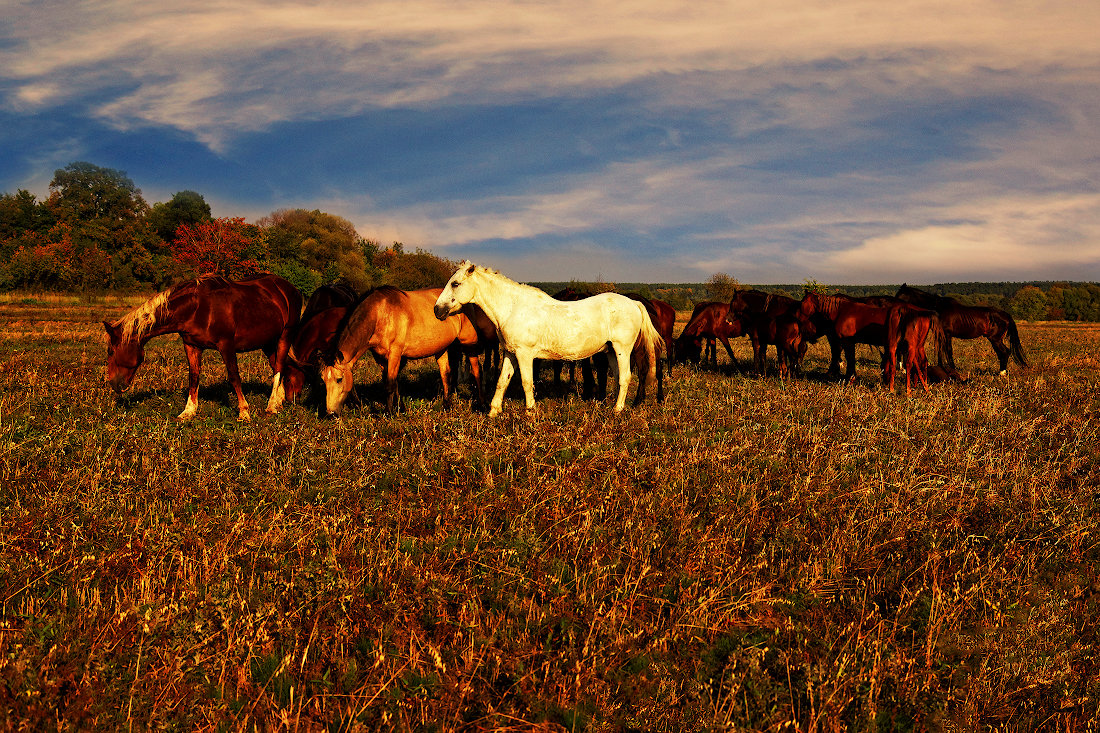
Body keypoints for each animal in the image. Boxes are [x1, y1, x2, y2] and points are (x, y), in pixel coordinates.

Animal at [103, 272, 301, 422]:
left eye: (111, 351)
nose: (114, 384)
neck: (197, 308)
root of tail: (289, 288)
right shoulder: (191, 346)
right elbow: (194, 376)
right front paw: (188, 411)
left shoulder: (226, 345)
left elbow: (234, 377)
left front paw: (244, 412)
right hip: (268, 342)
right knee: (278, 367)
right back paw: (278, 401)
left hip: (285, 336)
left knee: (279, 367)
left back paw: (271, 406)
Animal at [321, 283, 488, 411]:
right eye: (323, 380)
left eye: (339, 379)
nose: (331, 412)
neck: (379, 313)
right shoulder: (380, 357)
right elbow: (391, 381)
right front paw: (399, 407)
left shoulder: (395, 353)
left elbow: (389, 383)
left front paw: (389, 412)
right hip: (442, 348)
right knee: (445, 373)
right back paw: (447, 405)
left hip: (469, 343)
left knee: (476, 370)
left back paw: (481, 404)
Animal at [433, 259, 664, 413]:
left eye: (455, 284)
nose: (437, 310)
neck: (513, 308)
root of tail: (634, 303)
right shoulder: (510, 353)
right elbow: (502, 381)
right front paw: (493, 412)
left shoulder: (525, 354)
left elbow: (527, 382)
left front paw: (530, 412)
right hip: (610, 351)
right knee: (617, 377)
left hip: (623, 349)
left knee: (625, 377)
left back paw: (617, 411)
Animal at [897, 283, 1025, 374]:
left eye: (900, 296)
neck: (938, 308)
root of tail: (1006, 315)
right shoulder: (940, 335)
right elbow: (940, 351)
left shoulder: (947, 335)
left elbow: (948, 351)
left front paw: (952, 369)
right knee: (1003, 353)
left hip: (995, 339)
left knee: (1004, 352)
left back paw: (1002, 373)